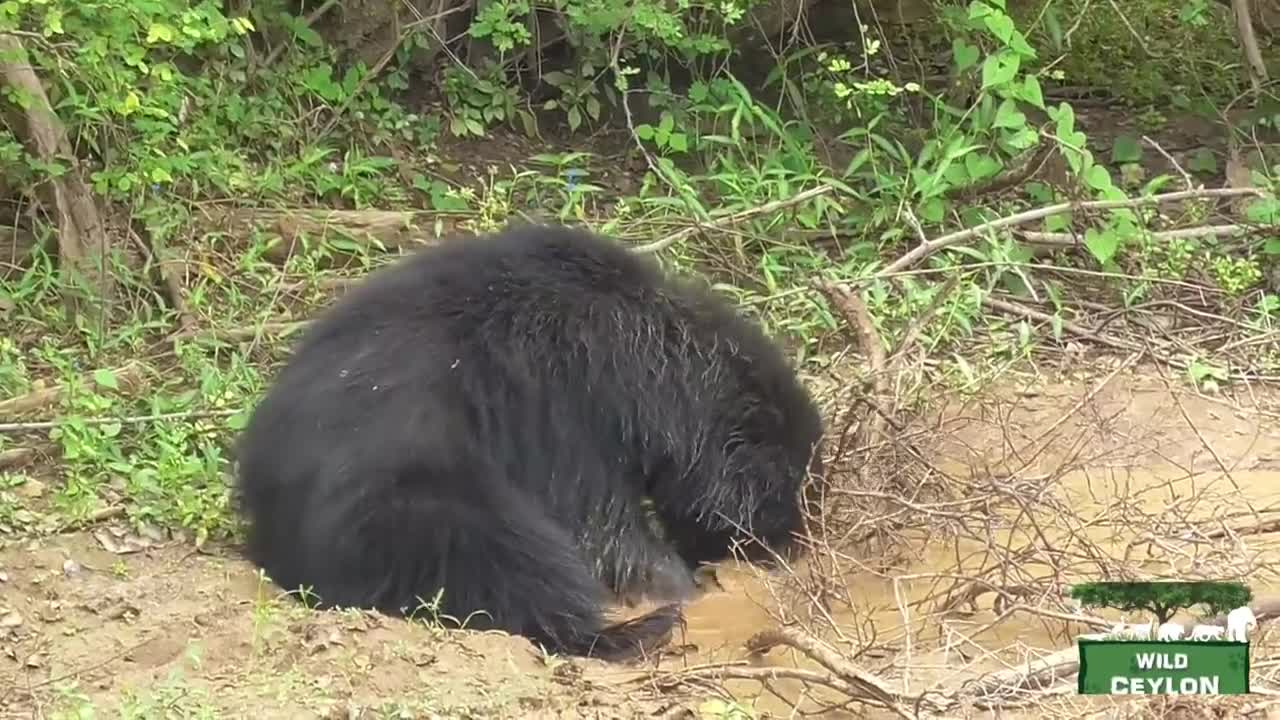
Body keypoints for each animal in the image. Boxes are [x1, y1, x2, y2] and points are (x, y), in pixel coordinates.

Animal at [234, 221, 824, 661]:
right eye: (782, 490)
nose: (791, 546)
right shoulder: (563, 404)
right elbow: (602, 524)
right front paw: (677, 586)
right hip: (409, 500)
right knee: (502, 558)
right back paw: (629, 631)